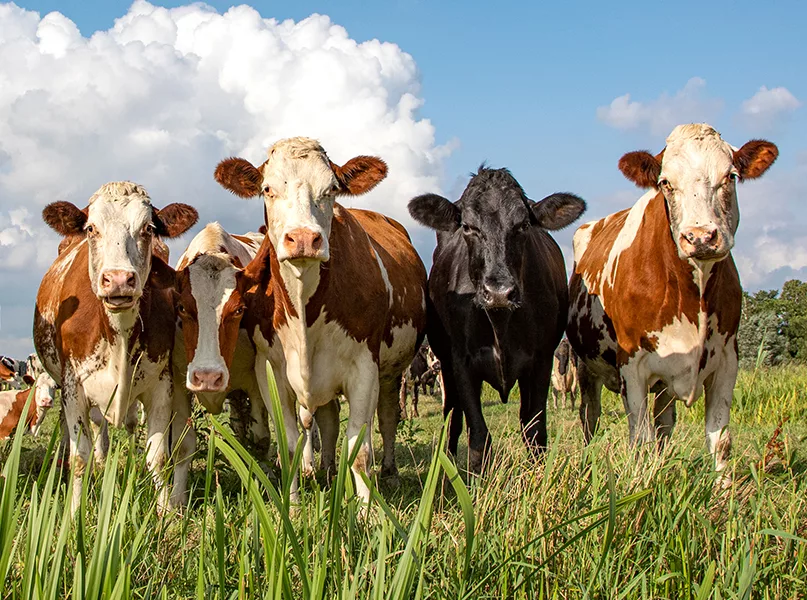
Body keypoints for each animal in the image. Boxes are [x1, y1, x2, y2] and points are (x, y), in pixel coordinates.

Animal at [34, 182, 199, 510]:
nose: (119, 279)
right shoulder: (73, 387)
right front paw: (74, 513)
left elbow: (158, 457)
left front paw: (164, 512)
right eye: (91, 228)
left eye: (148, 228)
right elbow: (80, 456)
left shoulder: (160, 384)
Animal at [215, 138, 430, 504]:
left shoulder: (365, 366)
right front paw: (291, 503)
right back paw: (328, 472)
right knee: (328, 418)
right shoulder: (269, 369)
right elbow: (288, 445)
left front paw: (366, 510)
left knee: (388, 417)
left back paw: (389, 474)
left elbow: (360, 449)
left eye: (331, 189)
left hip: (392, 371)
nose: (303, 238)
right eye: (267, 189)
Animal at [410, 165, 588, 474]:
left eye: (523, 225)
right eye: (468, 226)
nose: (499, 292)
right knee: (452, 420)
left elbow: (535, 430)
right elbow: (478, 435)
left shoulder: (542, 360)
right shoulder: (460, 361)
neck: (499, 321)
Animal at [564, 123, 780, 474]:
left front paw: (722, 490)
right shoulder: (632, 365)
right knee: (590, 417)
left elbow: (720, 440)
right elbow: (640, 439)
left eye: (731, 176)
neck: (694, 296)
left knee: (664, 422)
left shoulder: (727, 360)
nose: (700, 236)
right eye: (665, 182)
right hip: (585, 365)